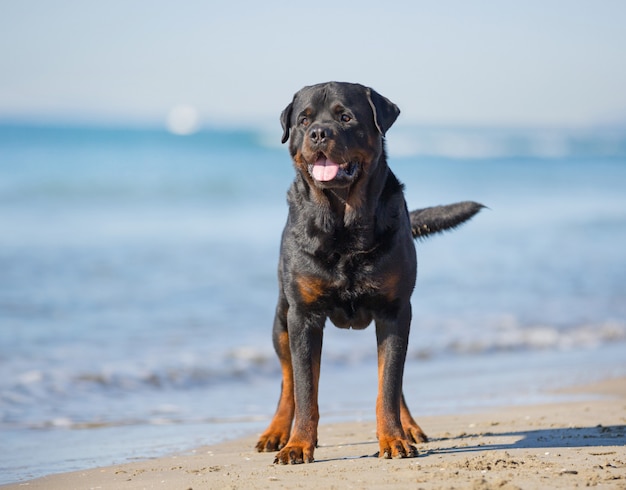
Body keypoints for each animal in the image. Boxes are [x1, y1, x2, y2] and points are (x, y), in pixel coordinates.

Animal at [255, 82, 482, 466]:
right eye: (304, 120)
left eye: (346, 117)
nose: (319, 133)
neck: (343, 223)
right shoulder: (303, 315)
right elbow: (305, 388)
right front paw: (298, 445)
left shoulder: (394, 311)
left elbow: (387, 384)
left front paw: (393, 438)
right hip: (281, 319)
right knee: (288, 381)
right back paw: (276, 432)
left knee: (393, 379)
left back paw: (408, 428)